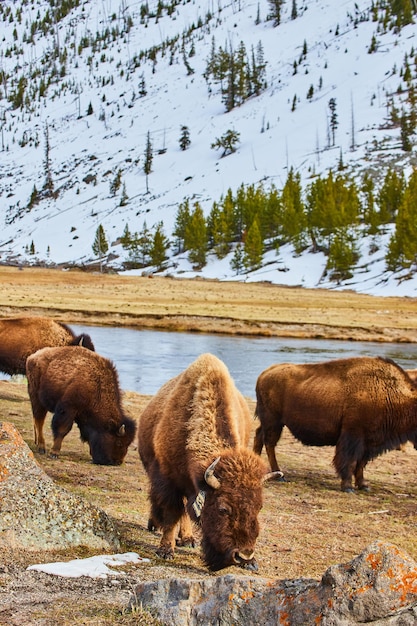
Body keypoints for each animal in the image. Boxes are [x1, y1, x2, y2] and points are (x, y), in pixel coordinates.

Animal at [137, 352, 272, 572]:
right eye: (223, 508)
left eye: (259, 507)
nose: (242, 554)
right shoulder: (169, 482)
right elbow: (172, 515)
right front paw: (165, 550)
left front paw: (251, 563)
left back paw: (188, 539)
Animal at [252, 356, 416, 492]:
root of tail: (264, 373)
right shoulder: (353, 436)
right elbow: (349, 461)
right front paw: (348, 487)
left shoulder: (368, 442)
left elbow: (361, 464)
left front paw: (363, 486)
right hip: (273, 422)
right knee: (269, 443)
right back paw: (280, 475)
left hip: (269, 422)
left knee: (259, 437)